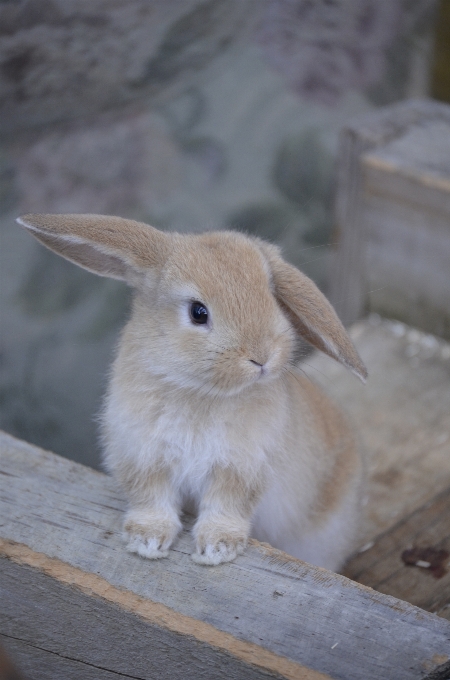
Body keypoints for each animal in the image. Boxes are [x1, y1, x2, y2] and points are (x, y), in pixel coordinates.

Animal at [18, 215, 370, 572]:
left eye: (272, 296)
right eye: (198, 312)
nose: (262, 357)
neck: (199, 389)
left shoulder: (239, 469)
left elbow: (225, 507)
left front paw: (216, 550)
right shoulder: (144, 458)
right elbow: (152, 500)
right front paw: (147, 542)